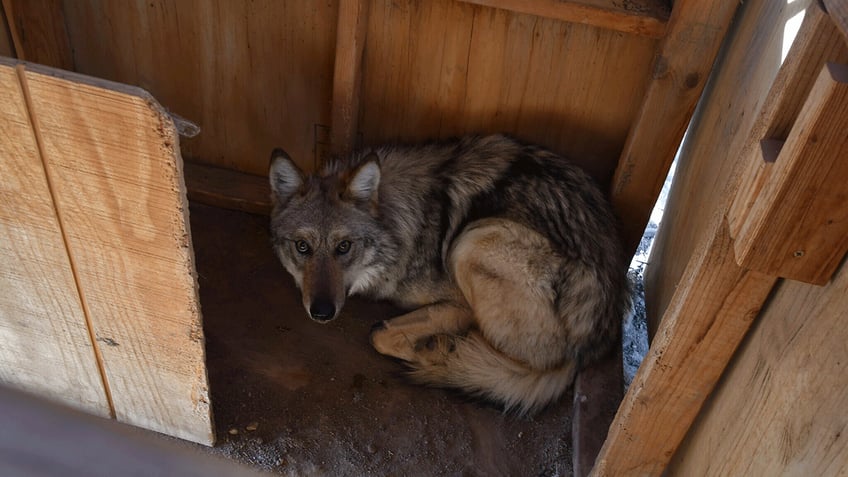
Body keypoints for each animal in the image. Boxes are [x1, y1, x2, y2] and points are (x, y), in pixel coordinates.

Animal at [268, 134, 632, 412]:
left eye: (344, 247)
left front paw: (427, 343)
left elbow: (380, 336)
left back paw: (441, 351)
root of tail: (590, 345)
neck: (401, 223)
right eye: (302, 247)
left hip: (473, 241)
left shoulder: (459, 303)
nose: (322, 312)